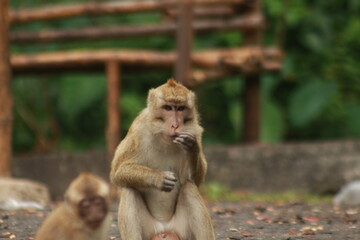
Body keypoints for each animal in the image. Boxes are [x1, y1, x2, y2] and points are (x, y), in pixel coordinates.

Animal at [109, 78, 215, 239]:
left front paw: (192, 147)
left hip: (182, 232)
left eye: (181, 108)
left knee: (189, 188)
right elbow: (117, 172)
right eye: (168, 108)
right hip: (149, 231)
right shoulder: (138, 128)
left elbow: (195, 181)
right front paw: (158, 178)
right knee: (129, 190)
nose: (175, 125)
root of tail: (164, 229)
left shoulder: (195, 131)